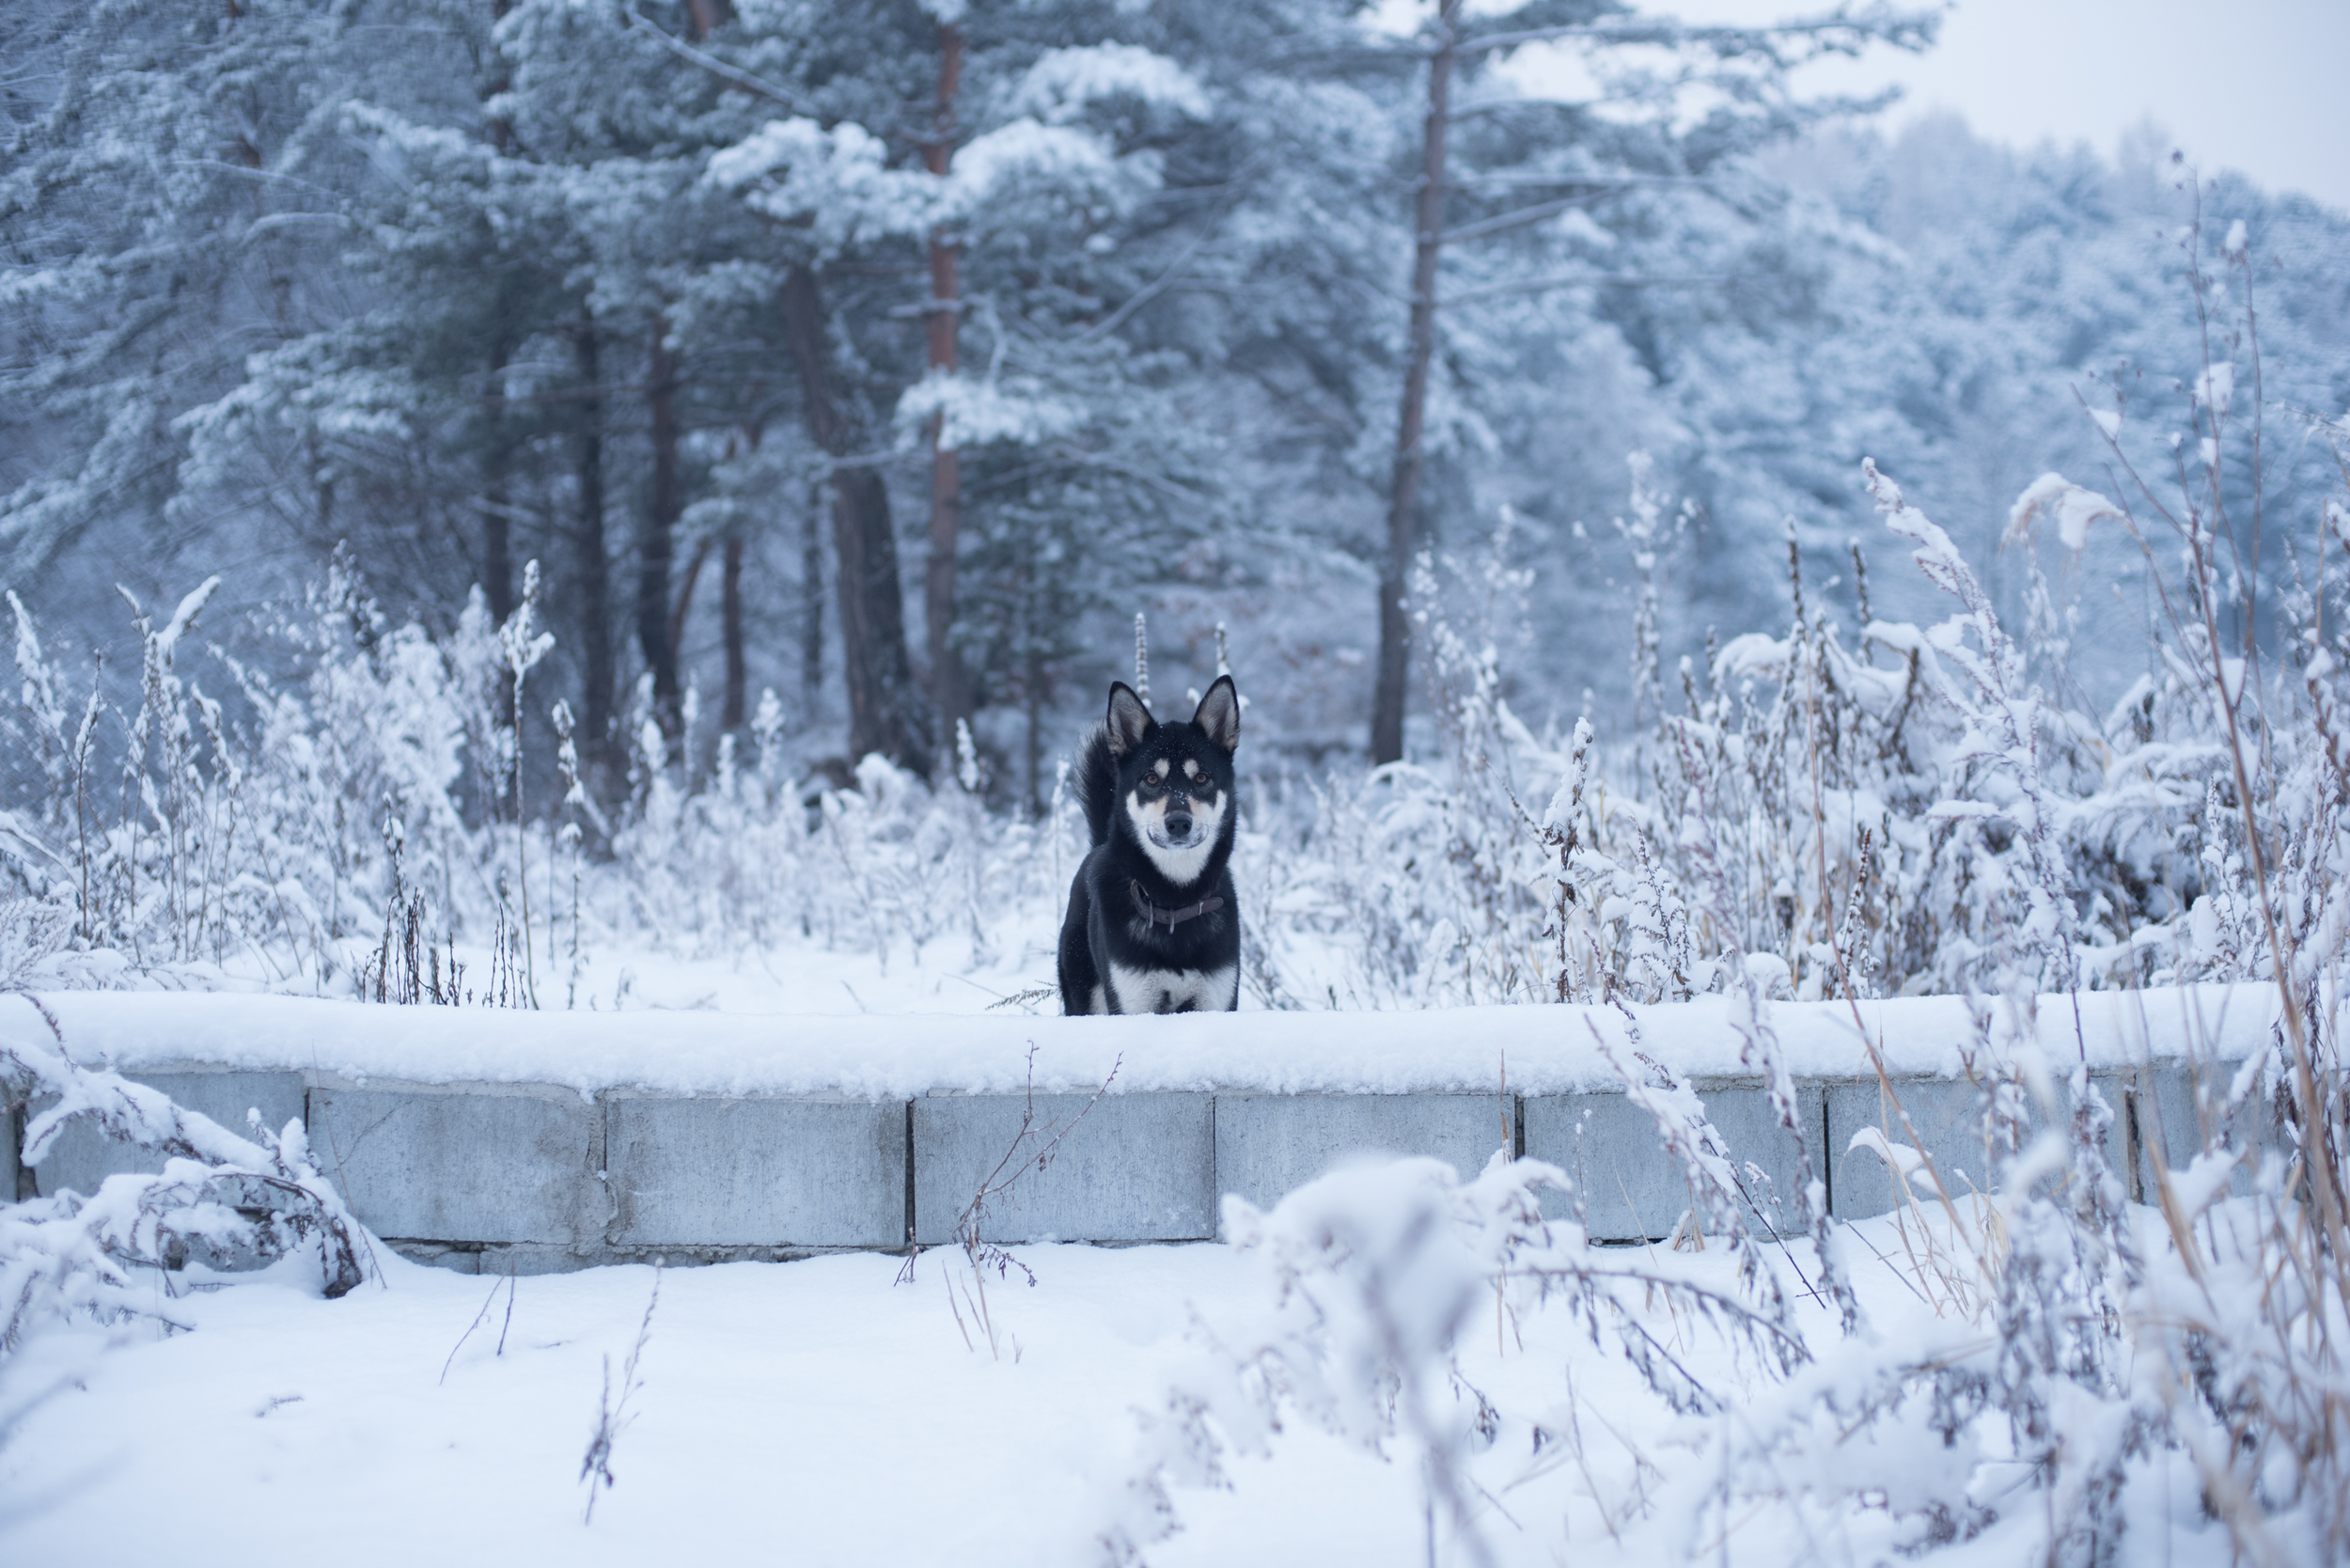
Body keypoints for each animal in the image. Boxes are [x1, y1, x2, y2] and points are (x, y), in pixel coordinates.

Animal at [1062, 677, 1241, 1020]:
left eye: (1202, 778)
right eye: (1151, 779)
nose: (1179, 823)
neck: (1175, 901)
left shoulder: (1215, 1001)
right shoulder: (1133, 1004)